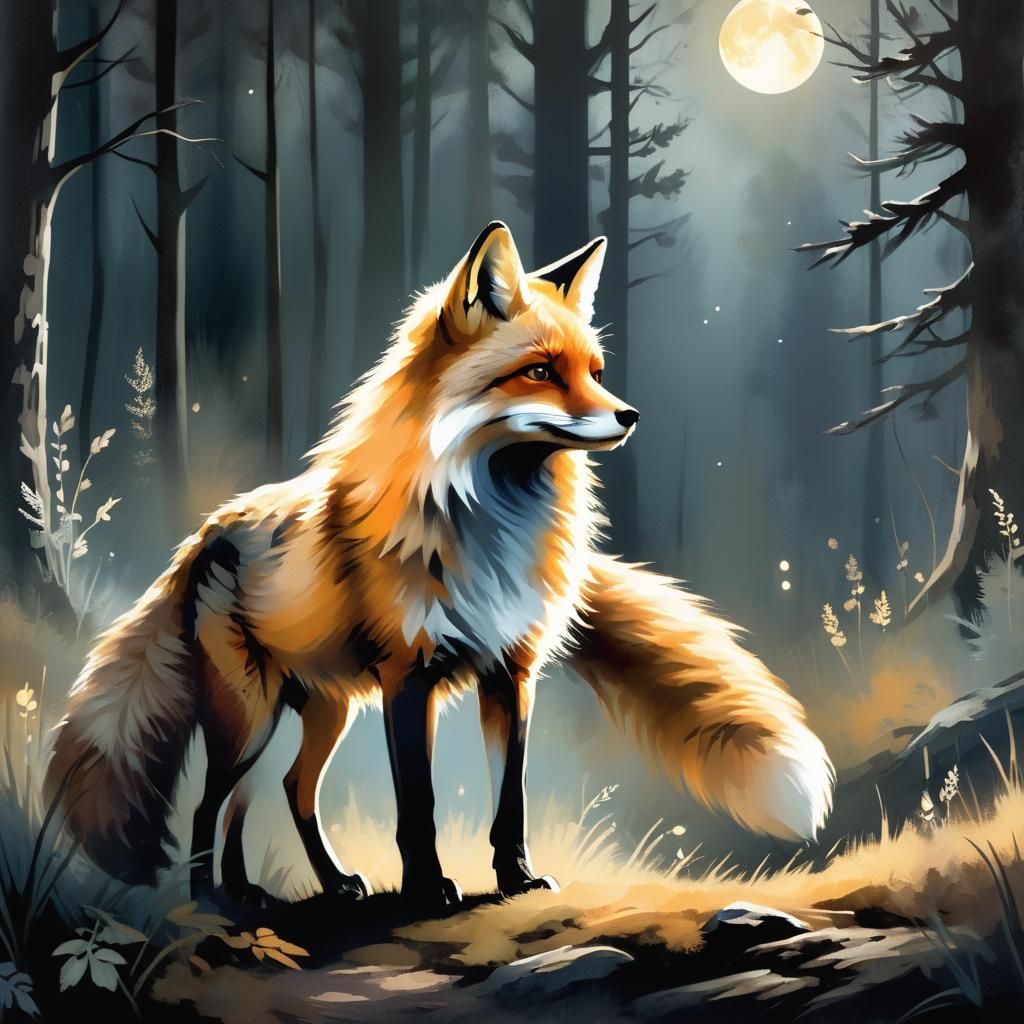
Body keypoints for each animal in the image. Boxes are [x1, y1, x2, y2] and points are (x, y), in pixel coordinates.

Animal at [45, 222, 833, 908]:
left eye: (595, 371)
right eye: (541, 371)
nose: (629, 415)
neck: (489, 527)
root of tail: (208, 529)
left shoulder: (511, 673)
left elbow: (510, 802)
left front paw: (517, 880)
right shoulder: (409, 676)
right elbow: (418, 805)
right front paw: (428, 890)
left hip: (317, 712)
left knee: (286, 792)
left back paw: (304, 886)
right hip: (250, 714)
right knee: (211, 805)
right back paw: (216, 898)